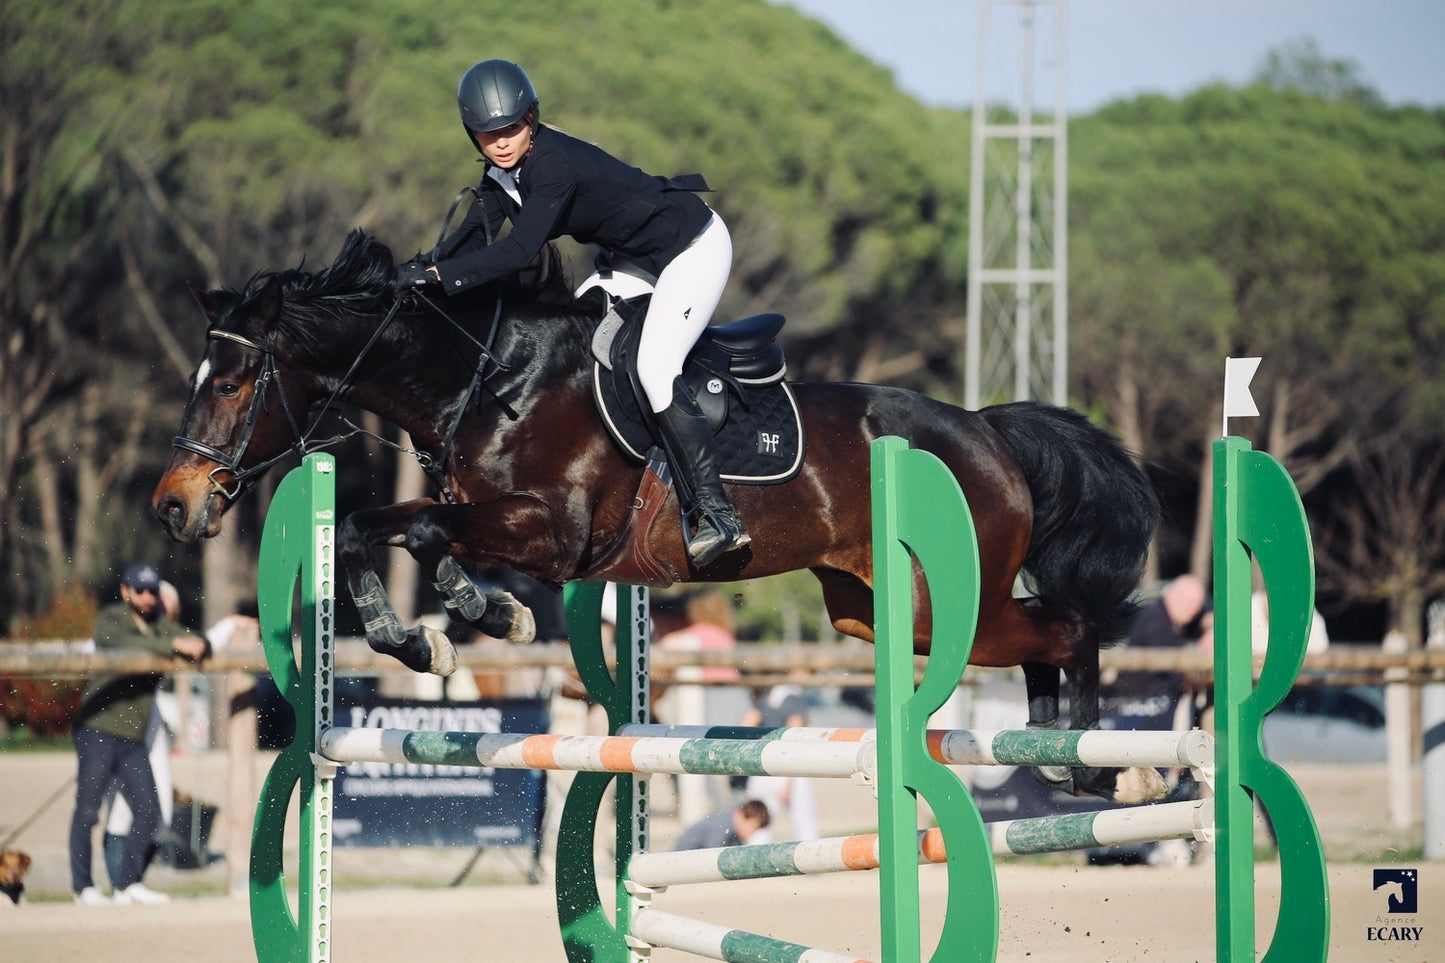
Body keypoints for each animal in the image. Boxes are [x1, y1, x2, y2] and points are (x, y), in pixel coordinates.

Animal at [152, 230, 1160, 801]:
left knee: (1066, 628)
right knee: (1040, 635)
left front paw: (477, 617)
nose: (173, 505)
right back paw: (1062, 757)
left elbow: (423, 533)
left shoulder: (554, 533)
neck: (491, 380)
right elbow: (374, 527)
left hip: (932, 602)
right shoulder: (493, 518)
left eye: (233, 381)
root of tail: (987, 428)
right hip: (869, 608)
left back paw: (1107, 764)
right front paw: (436, 635)